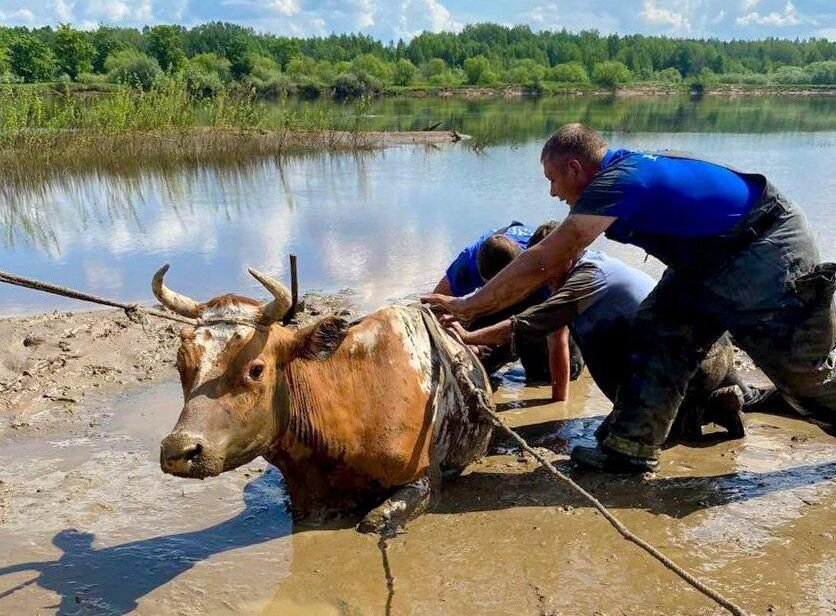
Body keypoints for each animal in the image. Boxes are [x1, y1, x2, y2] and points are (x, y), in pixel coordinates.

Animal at [153, 264, 494, 536]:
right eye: (181, 363)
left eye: (256, 369)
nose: (178, 450)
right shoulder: (306, 500)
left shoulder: (423, 478)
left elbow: (372, 522)